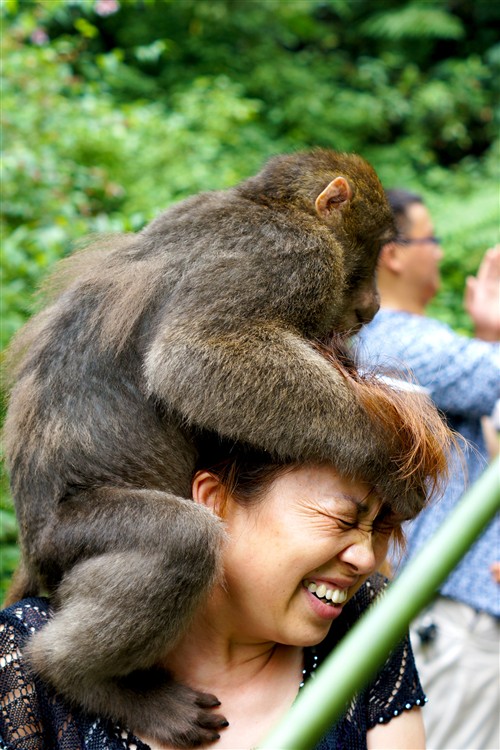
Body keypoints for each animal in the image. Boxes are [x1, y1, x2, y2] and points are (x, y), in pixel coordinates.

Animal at [2, 147, 438, 748]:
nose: (373, 307)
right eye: (371, 251)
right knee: (181, 540)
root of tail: (31, 543)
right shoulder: (296, 258)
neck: (268, 202)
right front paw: (387, 453)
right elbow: (194, 359)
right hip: (68, 540)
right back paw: (82, 676)